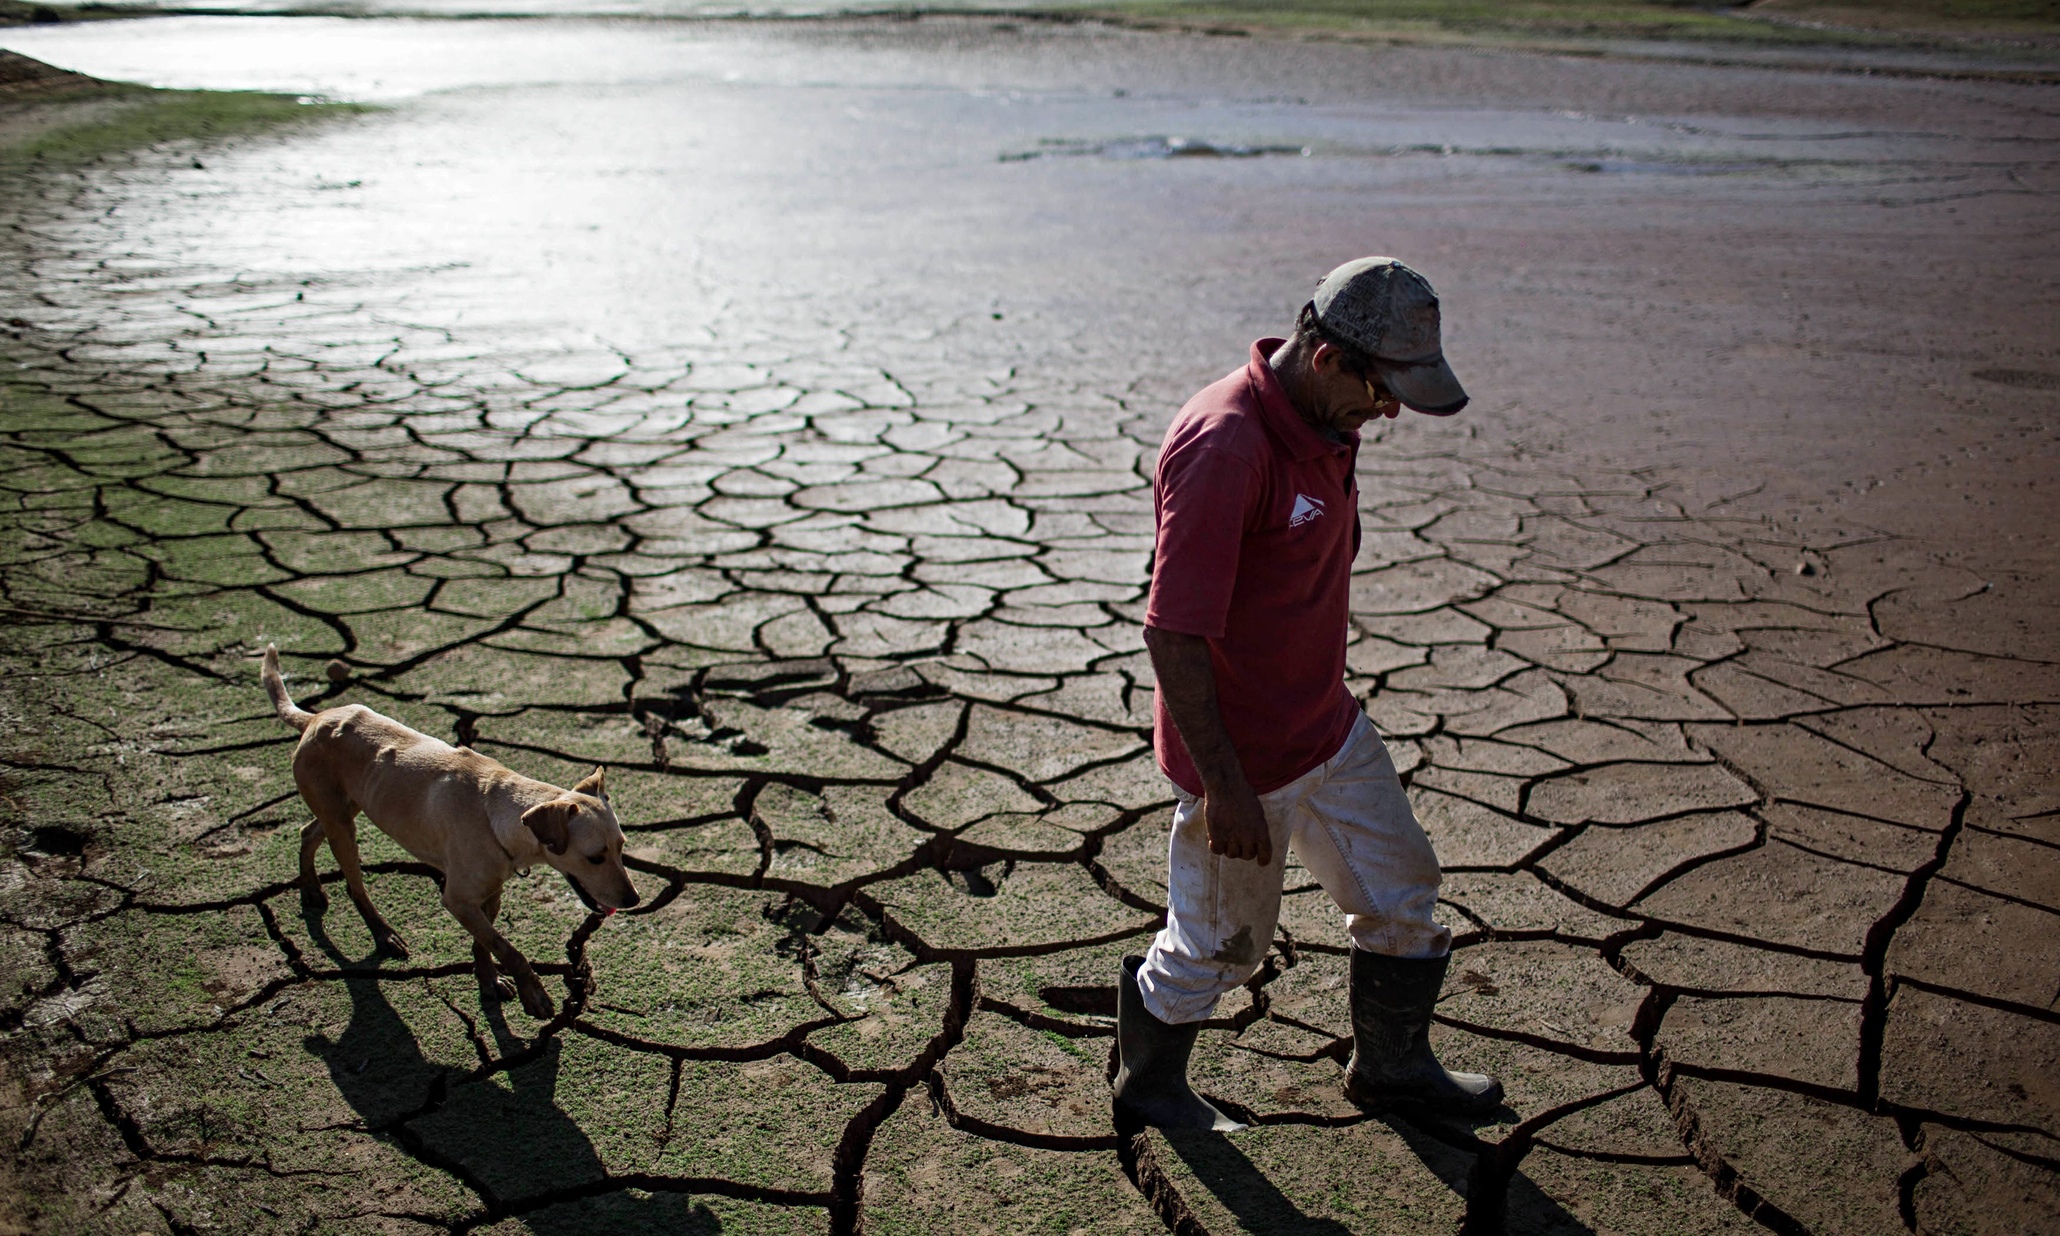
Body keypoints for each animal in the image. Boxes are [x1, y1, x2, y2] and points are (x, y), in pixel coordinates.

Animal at [261, 642, 638, 1017]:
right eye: (594, 857)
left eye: (622, 847)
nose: (633, 900)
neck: (497, 812)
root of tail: (316, 717)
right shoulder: (457, 898)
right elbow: (508, 948)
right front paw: (534, 993)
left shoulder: (488, 893)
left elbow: (486, 942)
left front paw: (488, 980)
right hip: (341, 823)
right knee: (355, 884)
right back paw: (383, 934)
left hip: (345, 806)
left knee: (308, 832)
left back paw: (311, 889)